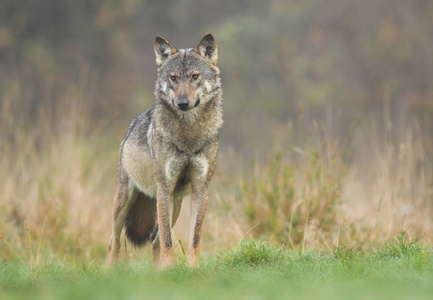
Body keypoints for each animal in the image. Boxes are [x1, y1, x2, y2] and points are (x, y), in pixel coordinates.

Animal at [105, 33, 223, 270]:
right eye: (174, 78)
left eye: (194, 76)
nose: (182, 103)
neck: (188, 137)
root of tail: (129, 130)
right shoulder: (164, 186)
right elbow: (169, 241)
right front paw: (171, 267)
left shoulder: (201, 189)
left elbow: (193, 239)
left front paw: (192, 269)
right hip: (126, 202)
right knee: (114, 242)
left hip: (174, 204)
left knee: (154, 242)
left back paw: (160, 274)